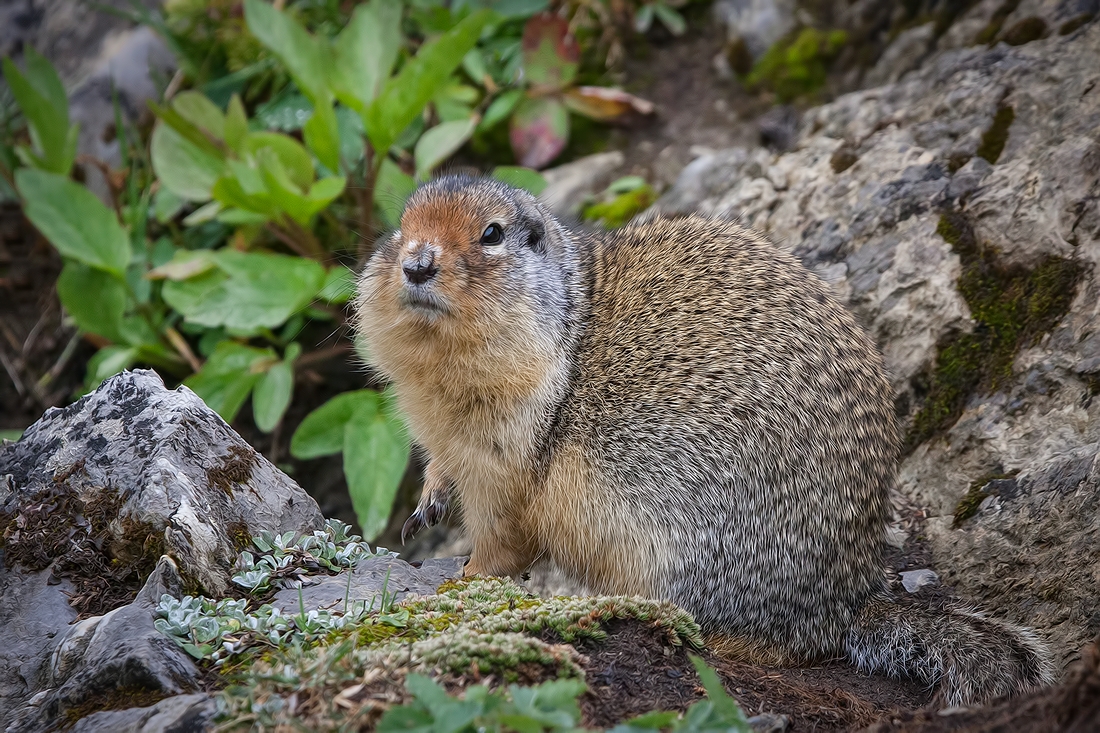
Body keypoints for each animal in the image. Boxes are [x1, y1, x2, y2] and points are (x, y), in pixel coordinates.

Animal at [354, 173, 1056, 704]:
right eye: (401, 224)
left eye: (492, 234)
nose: (416, 261)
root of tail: (848, 597)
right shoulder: (448, 435)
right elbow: (443, 470)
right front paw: (426, 506)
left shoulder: (509, 448)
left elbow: (503, 529)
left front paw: (465, 579)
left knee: (785, 645)